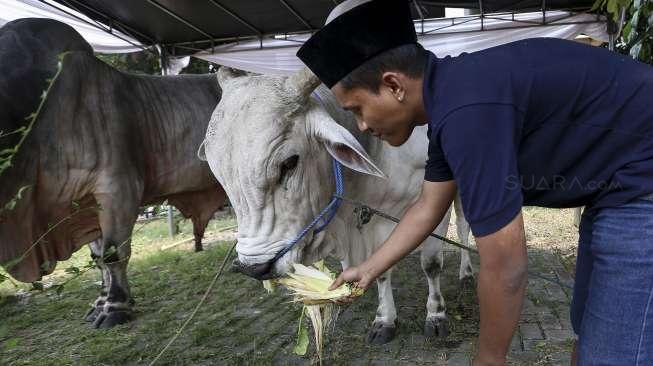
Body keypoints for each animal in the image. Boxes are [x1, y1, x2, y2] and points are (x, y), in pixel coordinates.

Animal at [201, 67, 472, 344]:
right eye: (219, 174)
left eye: (289, 163)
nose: (254, 268)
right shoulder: (372, 216)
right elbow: (381, 269)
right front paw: (384, 320)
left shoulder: (431, 202)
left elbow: (431, 264)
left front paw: (436, 315)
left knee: (463, 227)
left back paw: (466, 273)